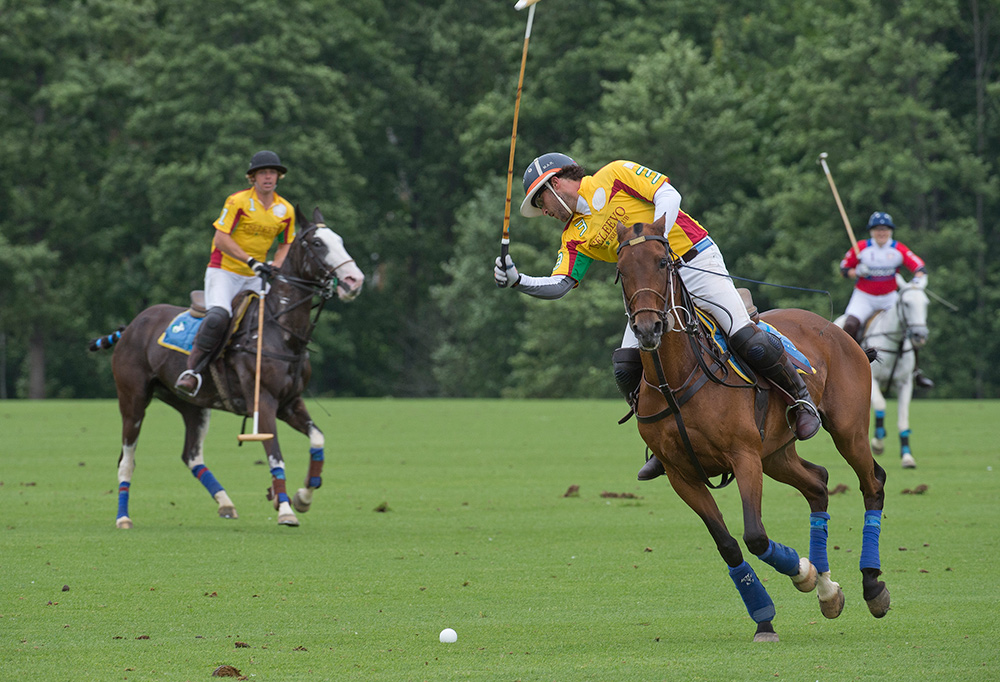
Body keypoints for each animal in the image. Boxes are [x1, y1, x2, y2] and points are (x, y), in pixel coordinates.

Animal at [90, 206, 364, 524]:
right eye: (318, 243)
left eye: (340, 240)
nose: (355, 280)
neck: (280, 330)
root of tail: (131, 326)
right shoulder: (264, 401)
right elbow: (276, 455)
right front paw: (285, 509)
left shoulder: (290, 402)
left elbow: (317, 439)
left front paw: (303, 497)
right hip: (132, 398)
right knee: (127, 459)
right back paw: (123, 518)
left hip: (193, 405)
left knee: (191, 455)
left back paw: (226, 503)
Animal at [616, 220, 892, 640]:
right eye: (620, 270)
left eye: (663, 262)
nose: (648, 328)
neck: (675, 380)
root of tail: (837, 329)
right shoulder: (681, 475)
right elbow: (728, 544)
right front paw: (767, 612)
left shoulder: (743, 456)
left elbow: (755, 535)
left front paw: (801, 573)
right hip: (776, 453)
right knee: (817, 483)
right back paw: (828, 591)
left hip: (848, 430)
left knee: (872, 482)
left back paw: (872, 584)